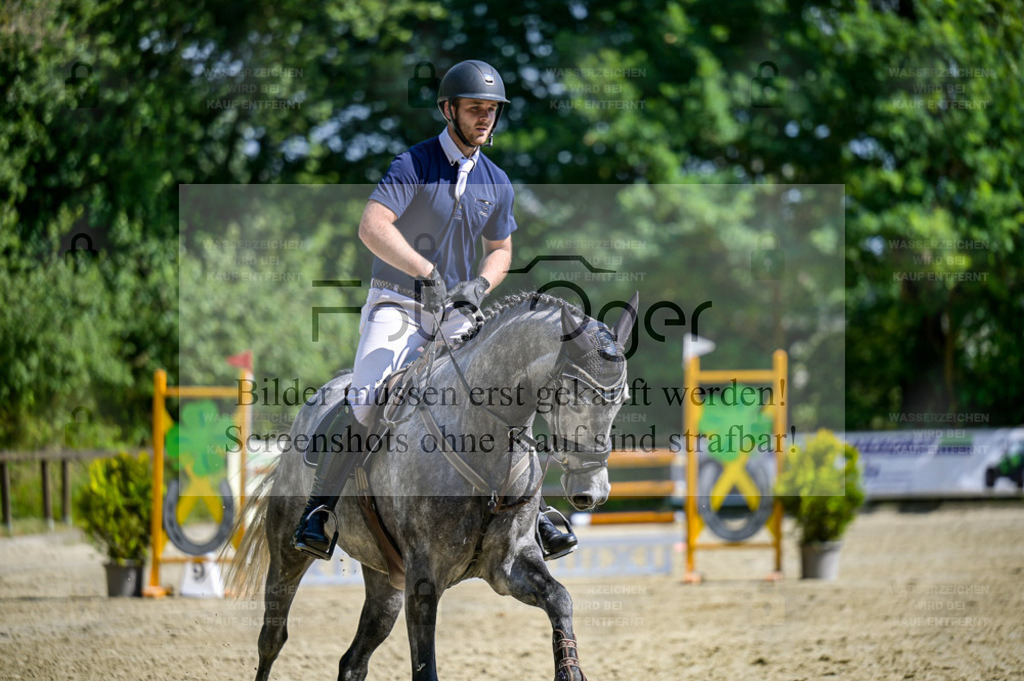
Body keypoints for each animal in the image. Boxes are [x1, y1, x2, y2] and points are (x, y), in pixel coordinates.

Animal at [228, 290, 634, 679]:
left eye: (622, 400)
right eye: (573, 393)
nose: (592, 490)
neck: (484, 440)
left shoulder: (509, 564)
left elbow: (560, 599)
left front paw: (570, 670)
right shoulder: (424, 577)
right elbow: (425, 667)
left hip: (387, 579)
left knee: (353, 661)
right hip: (288, 551)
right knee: (272, 637)